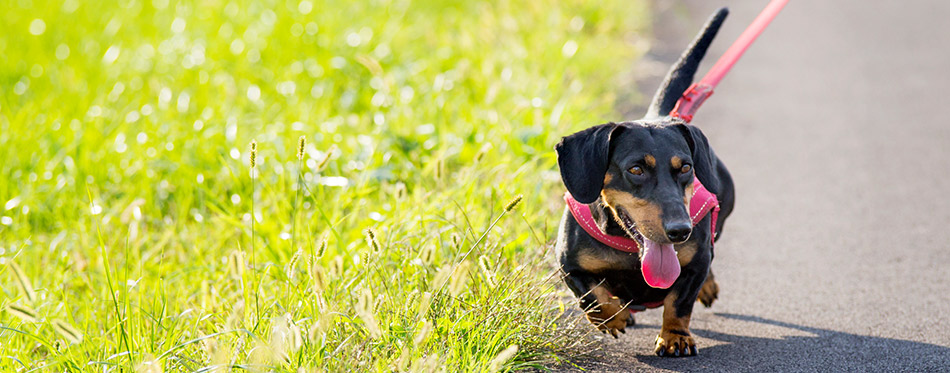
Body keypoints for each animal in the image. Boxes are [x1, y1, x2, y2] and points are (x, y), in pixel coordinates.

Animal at [556, 8, 736, 356]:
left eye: (686, 167)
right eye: (636, 169)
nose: (680, 231)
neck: (631, 249)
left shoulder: (694, 264)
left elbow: (679, 301)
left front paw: (675, 336)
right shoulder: (568, 264)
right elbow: (592, 299)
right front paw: (614, 316)